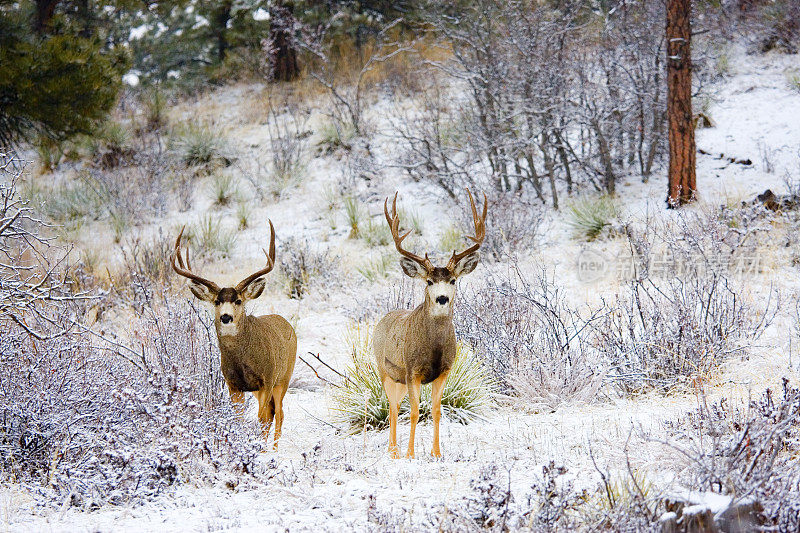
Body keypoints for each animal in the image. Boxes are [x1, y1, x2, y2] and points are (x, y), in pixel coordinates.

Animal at [170, 222, 296, 446]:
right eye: (217, 301)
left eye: (238, 300)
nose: (226, 317)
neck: (242, 361)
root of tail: (286, 323)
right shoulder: (233, 385)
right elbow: (240, 420)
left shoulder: (267, 379)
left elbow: (261, 419)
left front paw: (258, 449)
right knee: (274, 413)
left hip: (284, 378)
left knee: (279, 414)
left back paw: (274, 449)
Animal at [374, 188, 488, 458]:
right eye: (428, 281)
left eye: (453, 280)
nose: (442, 298)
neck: (433, 348)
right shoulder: (412, 370)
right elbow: (415, 412)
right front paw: (410, 454)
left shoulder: (444, 370)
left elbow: (436, 411)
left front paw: (437, 453)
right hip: (386, 371)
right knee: (392, 407)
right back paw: (394, 451)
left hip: (398, 379)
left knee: (395, 406)